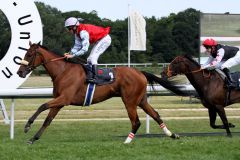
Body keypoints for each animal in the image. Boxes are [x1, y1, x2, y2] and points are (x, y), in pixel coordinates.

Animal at [16, 42, 187, 144]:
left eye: (29, 55)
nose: (19, 72)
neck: (63, 71)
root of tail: (140, 72)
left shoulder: (64, 98)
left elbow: (42, 105)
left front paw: (27, 126)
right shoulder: (59, 101)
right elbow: (48, 120)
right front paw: (33, 138)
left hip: (129, 100)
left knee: (136, 121)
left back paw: (127, 141)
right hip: (141, 100)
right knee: (156, 114)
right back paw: (172, 134)